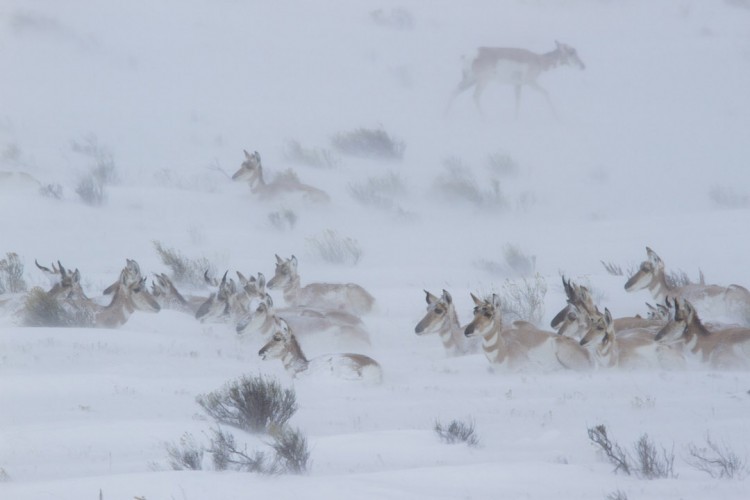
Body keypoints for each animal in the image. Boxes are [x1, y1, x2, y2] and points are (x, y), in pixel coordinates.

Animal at [446, 41, 588, 118]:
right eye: (571, 52)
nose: (583, 66)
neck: (539, 59)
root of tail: (469, 54)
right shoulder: (531, 83)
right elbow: (546, 93)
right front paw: (557, 117)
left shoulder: (517, 85)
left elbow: (518, 101)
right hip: (482, 81)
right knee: (475, 96)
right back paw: (485, 118)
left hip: (470, 80)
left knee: (454, 91)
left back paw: (446, 115)